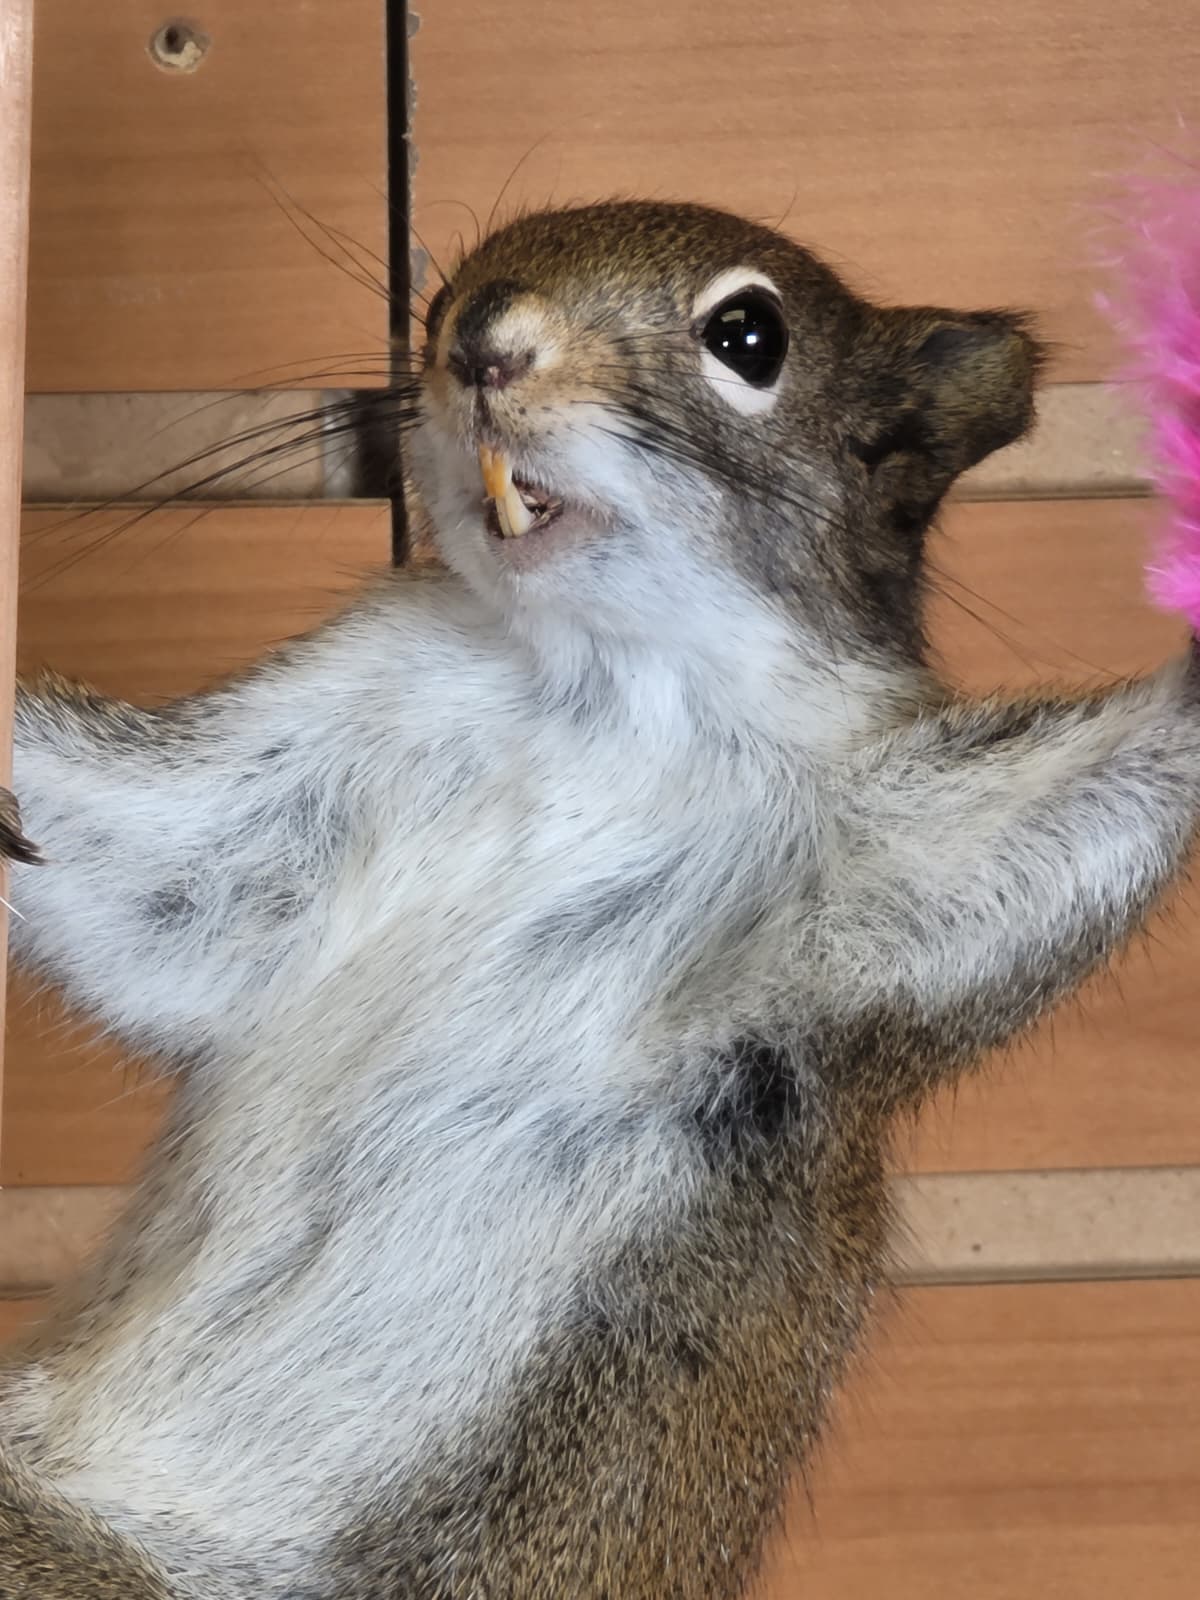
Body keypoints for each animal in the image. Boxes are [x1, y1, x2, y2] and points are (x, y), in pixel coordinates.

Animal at [0, 199, 1197, 1599]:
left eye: (750, 336)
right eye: (437, 296)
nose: (479, 340)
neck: (594, 697)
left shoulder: (883, 879)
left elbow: (1060, 826)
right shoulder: (292, 793)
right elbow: (154, 878)